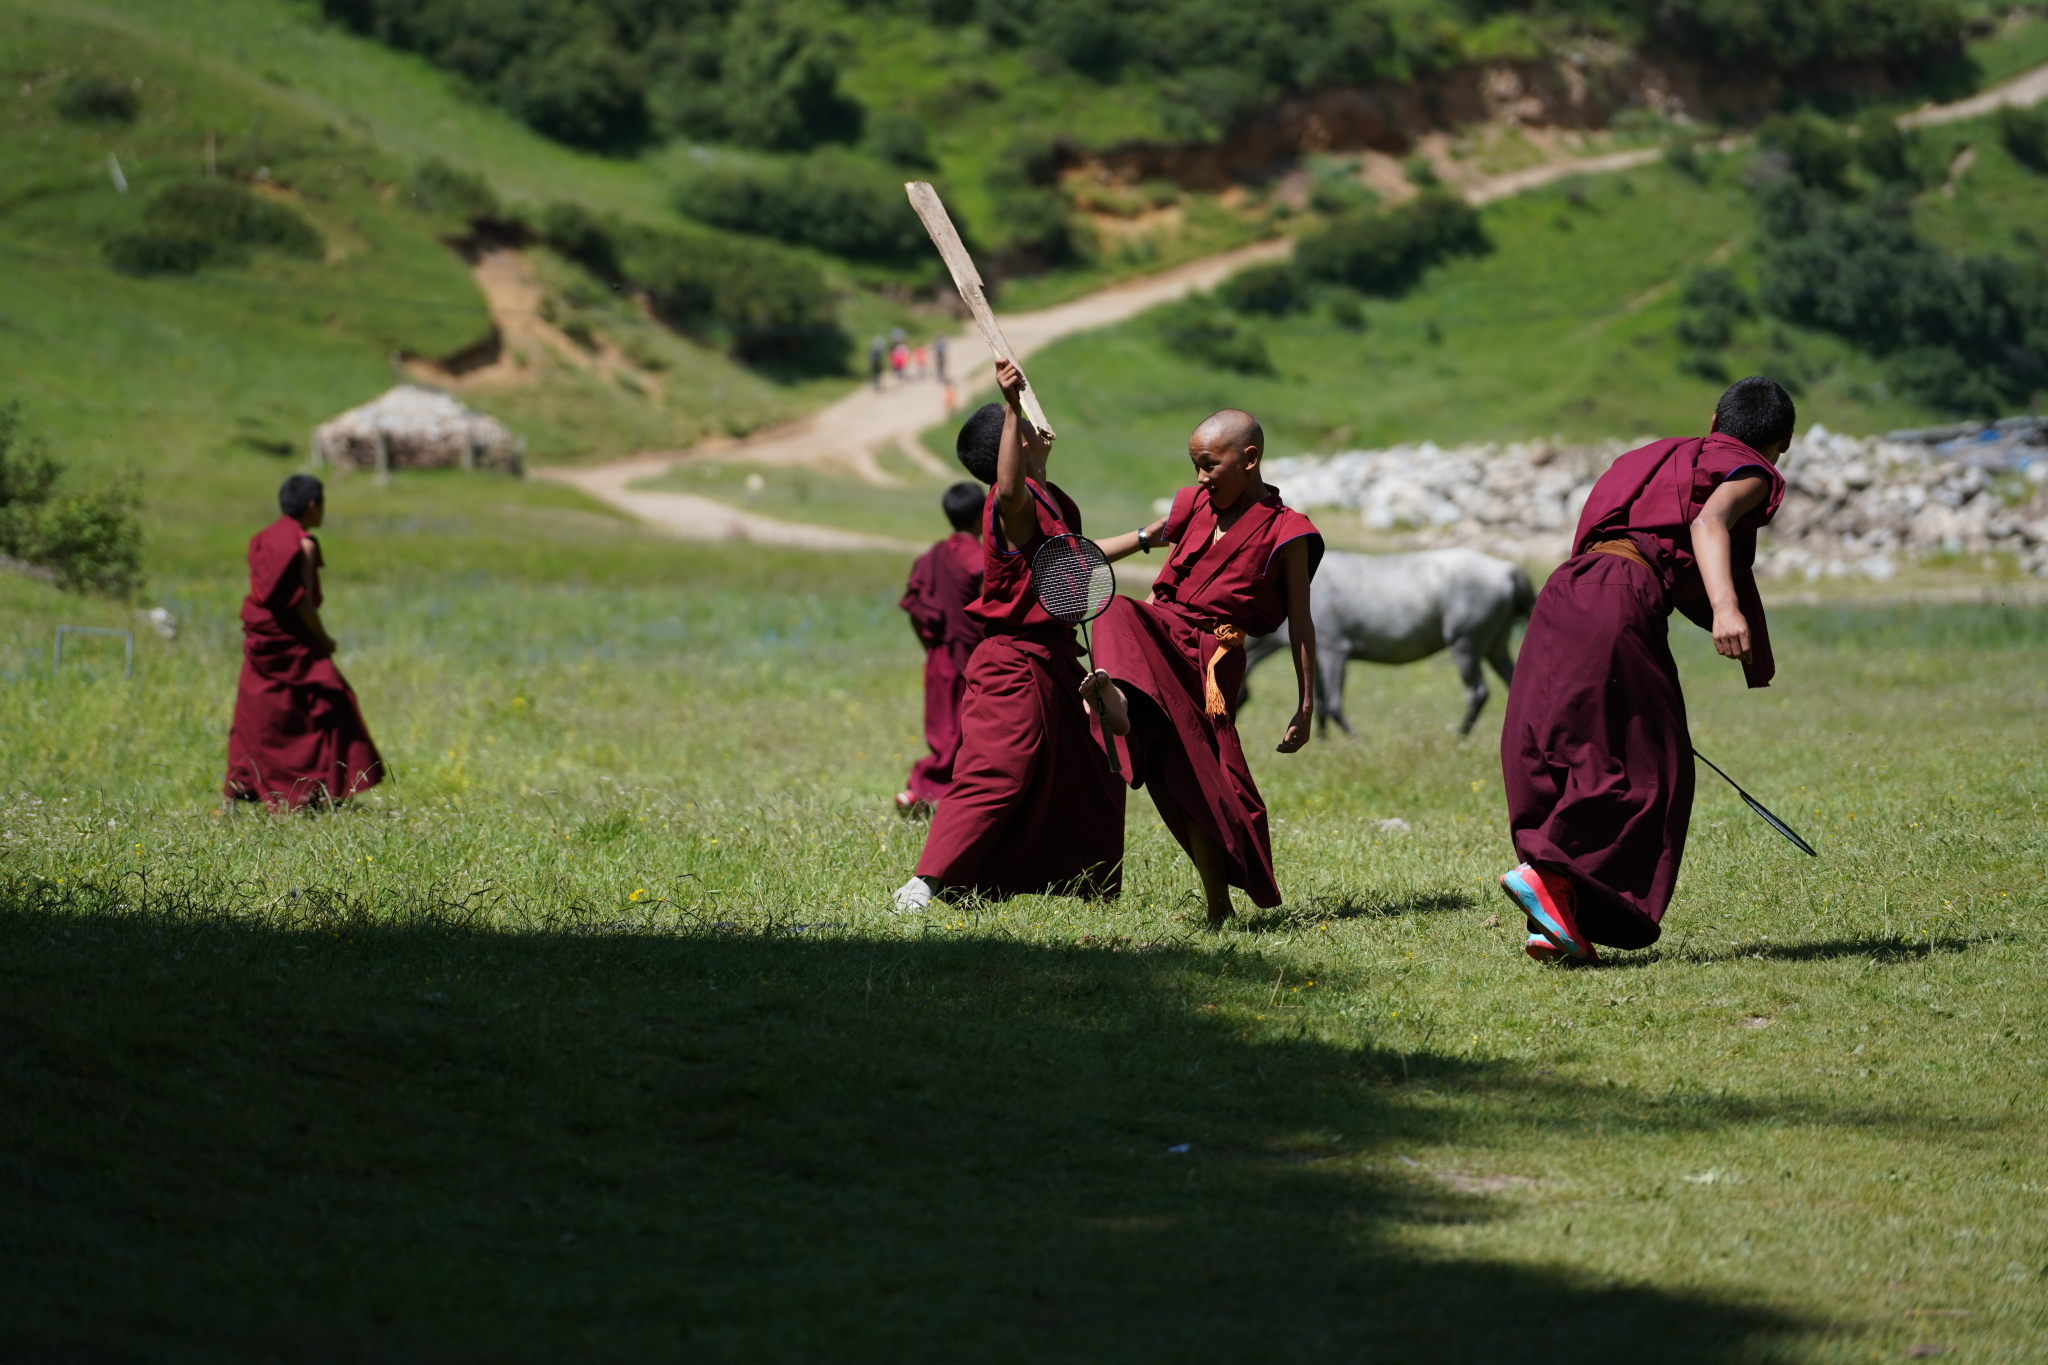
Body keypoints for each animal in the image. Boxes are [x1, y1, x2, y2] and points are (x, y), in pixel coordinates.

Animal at [1236, 548, 1531, 736]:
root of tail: (1507, 570)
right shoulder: (1316, 656)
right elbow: (1316, 703)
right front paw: (1320, 743)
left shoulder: (1334, 651)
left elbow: (1332, 703)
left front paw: (1356, 740)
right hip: (1495, 647)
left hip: (1466, 647)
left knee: (1477, 693)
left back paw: (1460, 736)